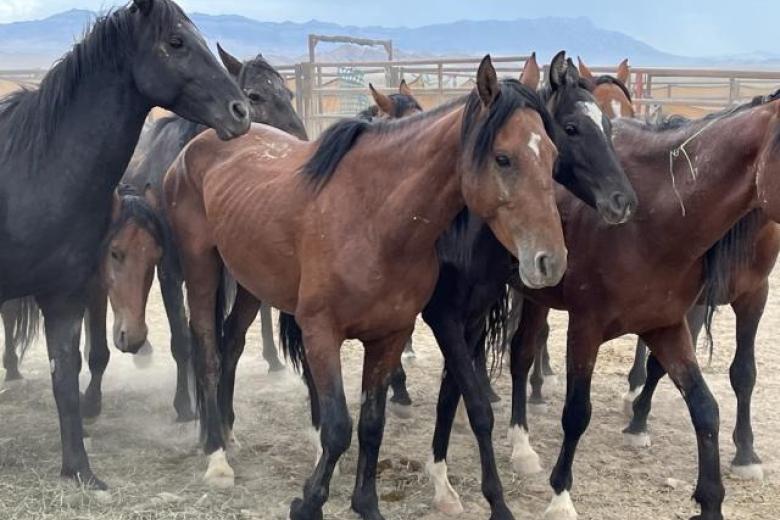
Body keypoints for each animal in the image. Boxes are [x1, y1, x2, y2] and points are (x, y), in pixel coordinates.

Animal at [0, 0, 249, 489]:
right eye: (176, 42)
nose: (240, 110)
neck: (33, 170)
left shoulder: (64, 295)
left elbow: (66, 377)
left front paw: (79, 471)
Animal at [164, 56, 567, 519]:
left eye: (553, 155)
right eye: (503, 158)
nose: (551, 261)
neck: (374, 220)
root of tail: (201, 143)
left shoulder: (390, 336)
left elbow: (372, 424)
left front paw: (366, 503)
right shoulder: (321, 333)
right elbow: (338, 427)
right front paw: (308, 502)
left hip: (251, 281)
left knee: (230, 344)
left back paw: (229, 435)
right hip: (201, 269)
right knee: (207, 352)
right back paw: (215, 456)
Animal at [414, 51, 637, 515]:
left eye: (612, 126)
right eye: (571, 128)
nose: (623, 201)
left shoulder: (475, 312)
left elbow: (455, 391)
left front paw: (444, 475)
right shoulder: (442, 314)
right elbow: (473, 400)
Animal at [506, 93, 780, 520]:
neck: (650, 220)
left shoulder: (667, 323)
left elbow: (706, 406)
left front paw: (712, 497)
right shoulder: (586, 327)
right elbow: (577, 412)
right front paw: (560, 497)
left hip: (537, 295)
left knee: (521, 353)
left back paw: (522, 446)